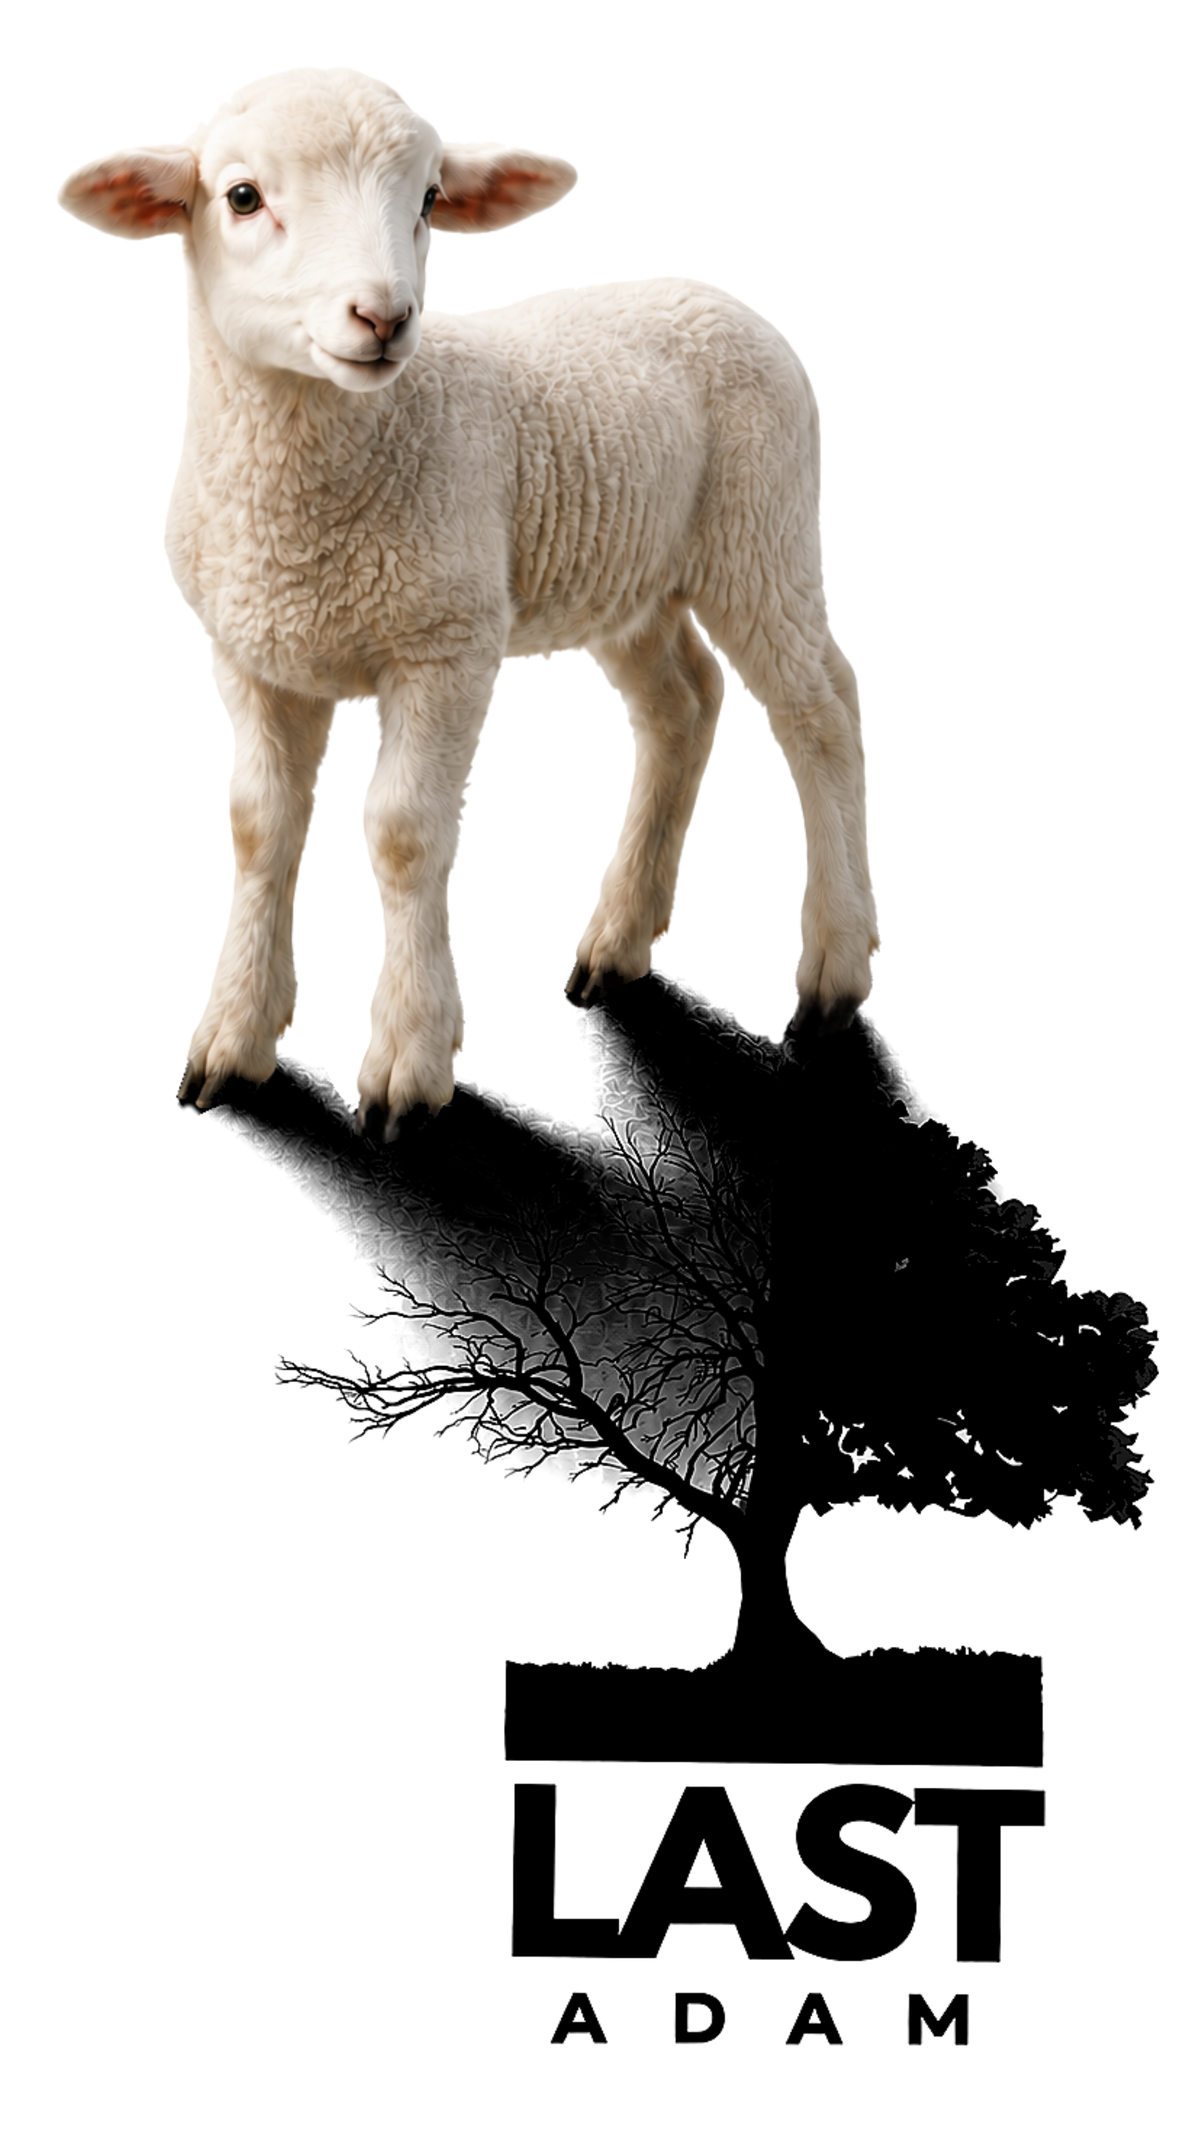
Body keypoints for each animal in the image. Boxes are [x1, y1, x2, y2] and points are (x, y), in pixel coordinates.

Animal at [55, 64, 881, 1140]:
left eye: (429, 198)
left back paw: (834, 967)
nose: (384, 317)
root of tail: (713, 291)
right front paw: (230, 1042)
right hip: (634, 579)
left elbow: (401, 834)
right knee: (683, 705)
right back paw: (613, 946)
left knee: (821, 710)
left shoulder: (444, 643)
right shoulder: (250, 653)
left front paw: (405, 1064)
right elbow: (257, 825)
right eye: (240, 197)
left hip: (763, 530)